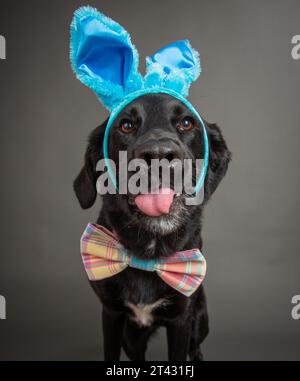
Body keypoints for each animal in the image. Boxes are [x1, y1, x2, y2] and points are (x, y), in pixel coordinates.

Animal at [74, 93, 231, 360]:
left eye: (187, 123)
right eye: (126, 125)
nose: (158, 154)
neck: (149, 253)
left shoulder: (182, 319)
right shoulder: (111, 313)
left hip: (200, 321)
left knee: (196, 346)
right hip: (130, 338)